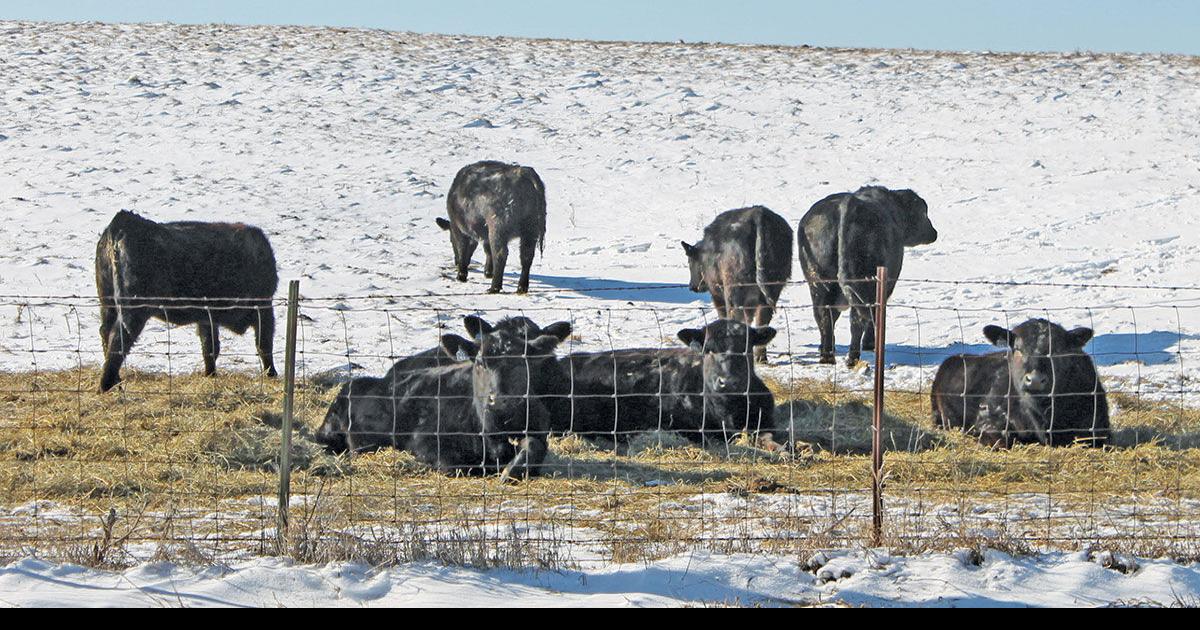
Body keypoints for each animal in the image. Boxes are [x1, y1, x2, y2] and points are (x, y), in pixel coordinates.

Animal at [94, 210, 278, 393]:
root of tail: (123, 221)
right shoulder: (264, 306)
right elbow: (264, 344)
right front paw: (272, 374)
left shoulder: (207, 316)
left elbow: (210, 346)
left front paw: (211, 375)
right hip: (134, 310)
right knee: (118, 338)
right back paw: (106, 385)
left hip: (108, 303)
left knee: (106, 332)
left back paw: (116, 382)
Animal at [436, 161, 547, 295]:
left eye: (450, 240)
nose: (455, 262)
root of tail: (523, 172)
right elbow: (487, 250)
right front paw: (488, 272)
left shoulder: (460, 230)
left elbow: (463, 249)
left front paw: (461, 275)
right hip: (530, 230)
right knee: (526, 256)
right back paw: (521, 287)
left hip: (498, 228)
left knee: (500, 254)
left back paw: (494, 287)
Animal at [682, 206, 793, 364]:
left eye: (689, 261)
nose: (692, 286)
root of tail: (758, 215)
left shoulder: (716, 293)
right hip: (772, 287)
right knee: (762, 318)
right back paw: (760, 357)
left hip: (733, 289)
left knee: (736, 317)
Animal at [797, 187, 938, 367]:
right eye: (924, 212)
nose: (934, 232)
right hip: (863, 285)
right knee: (858, 319)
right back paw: (853, 357)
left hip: (820, 285)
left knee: (824, 317)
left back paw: (827, 356)